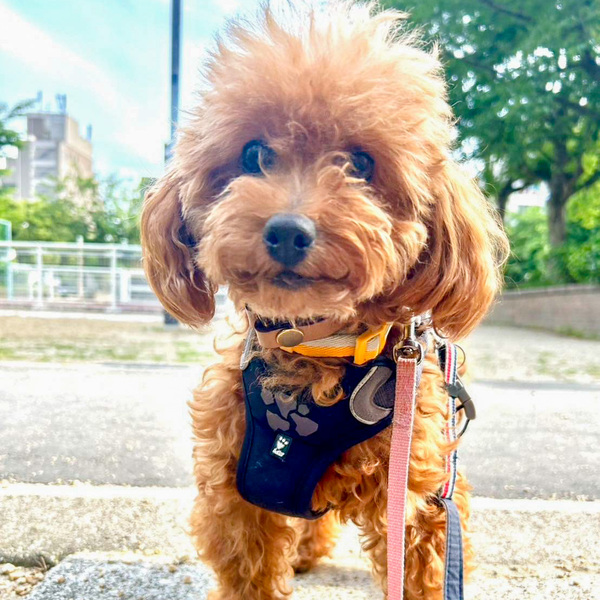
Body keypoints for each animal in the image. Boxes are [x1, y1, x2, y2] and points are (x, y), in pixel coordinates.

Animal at [141, 3, 508, 598]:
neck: (318, 348)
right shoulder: (237, 498)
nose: (289, 232)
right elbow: (250, 571)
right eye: (254, 154)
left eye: (360, 164)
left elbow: (420, 570)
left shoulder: (417, 499)